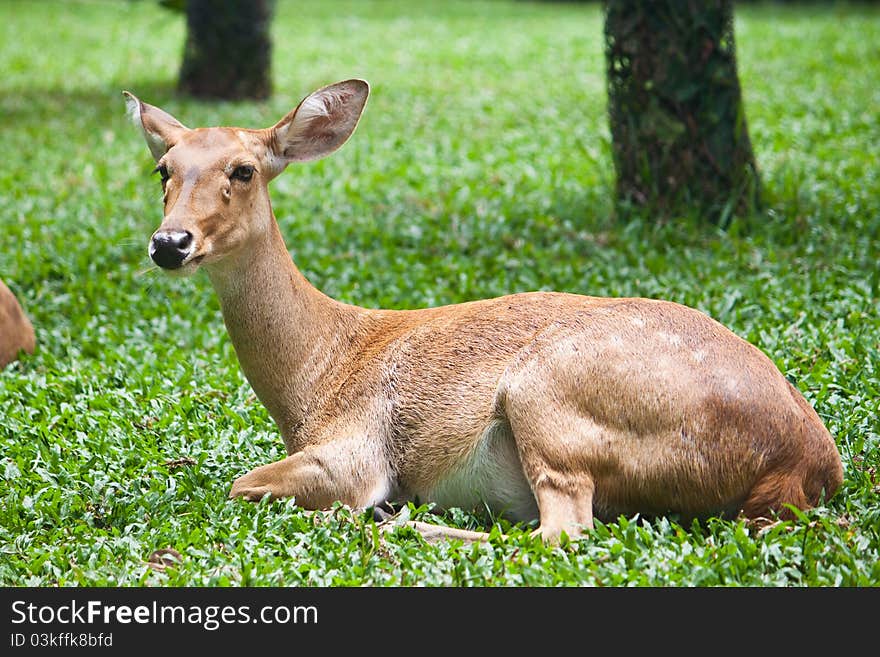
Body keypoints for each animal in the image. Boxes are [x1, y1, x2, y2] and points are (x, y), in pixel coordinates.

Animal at [125, 79, 844, 540]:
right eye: (164, 169)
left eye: (244, 169)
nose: (170, 242)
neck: (315, 373)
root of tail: (803, 467)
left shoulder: (355, 447)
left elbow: (244, 483)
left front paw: (371, 508)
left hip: (548, 395)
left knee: (563, 532)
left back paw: (408, 522)